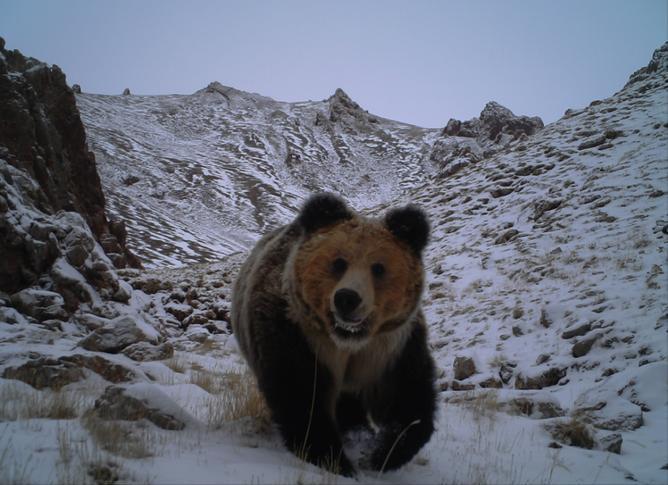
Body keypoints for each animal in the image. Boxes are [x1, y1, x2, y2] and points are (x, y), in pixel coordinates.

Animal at [231, 193, 436, 476]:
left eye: (378, 268)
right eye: (339, 262)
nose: (347, 298)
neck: (348, 339)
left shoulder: (390, 346)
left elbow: (406, 396)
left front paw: (385, 453)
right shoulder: (297, 333)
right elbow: (301, 394)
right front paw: (334, 459)